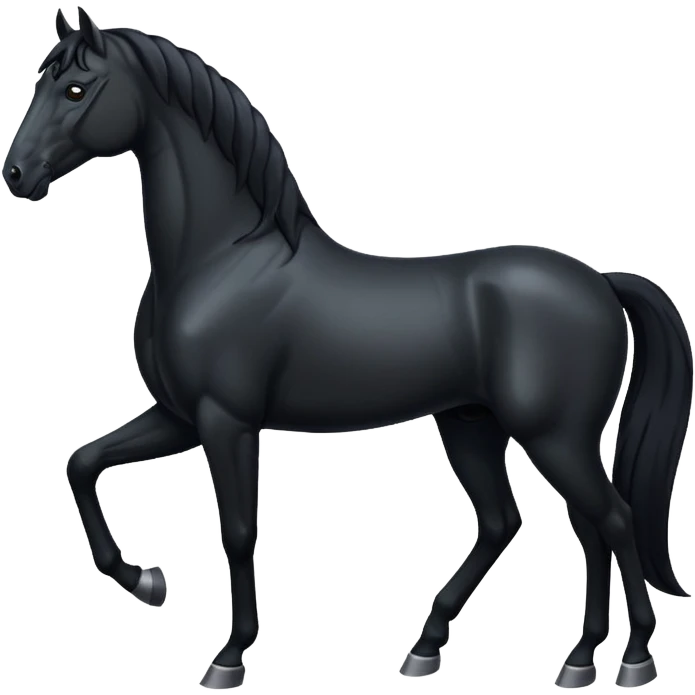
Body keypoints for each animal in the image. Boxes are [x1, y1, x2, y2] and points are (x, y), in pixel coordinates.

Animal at [4, 8, 691, 690]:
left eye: (75, 90)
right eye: (41, 82)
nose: (16, 174)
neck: (220, 259)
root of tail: (602, 281)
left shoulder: (226, 421)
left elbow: (237, 531)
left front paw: (229, 657)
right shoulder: (179, 417)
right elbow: (83, 463)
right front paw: (147, 582)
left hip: (554, 435)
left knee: (613, 519)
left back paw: (630, 659)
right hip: (474, 425)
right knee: (529, 524)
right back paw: (500, 654)